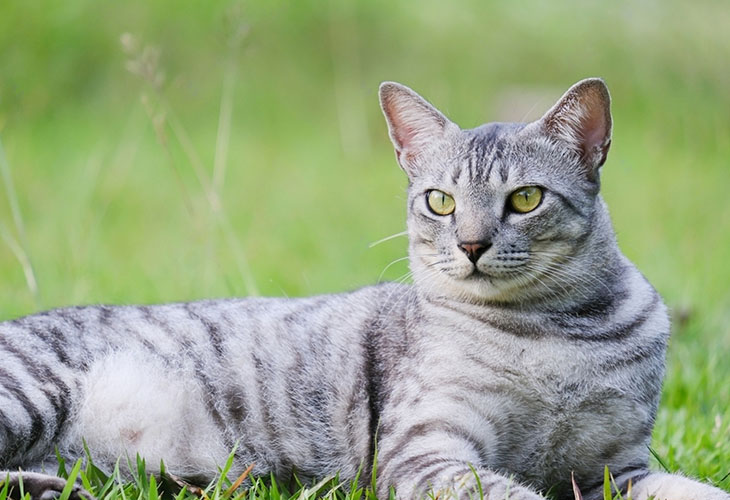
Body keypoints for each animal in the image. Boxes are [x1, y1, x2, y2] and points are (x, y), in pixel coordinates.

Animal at [0, 79, 724, 500]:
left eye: (525, 198)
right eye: (440, 201)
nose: (470, 244)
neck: (559, 328)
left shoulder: (615, 470)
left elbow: (692, 492)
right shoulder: (427, 452)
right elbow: (515, 494)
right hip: (30, 392)